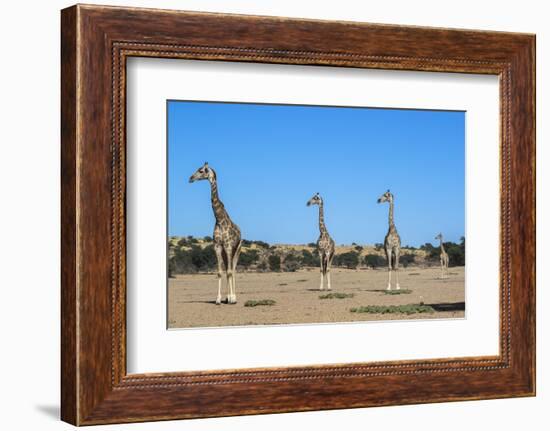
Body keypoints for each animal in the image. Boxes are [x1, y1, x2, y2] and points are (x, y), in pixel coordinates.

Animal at [190, 164, 242, 306]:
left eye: (201, 170)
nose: (190, 178)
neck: (219, 218)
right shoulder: (217, 246)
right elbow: (220, 272)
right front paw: (219, 299)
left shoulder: (228, 246)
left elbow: (229, 272)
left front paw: (232, 299)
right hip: (225, 252)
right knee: (228, 269)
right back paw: (227, 298)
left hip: (237, 249)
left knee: (233, 270)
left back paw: (233, 298)